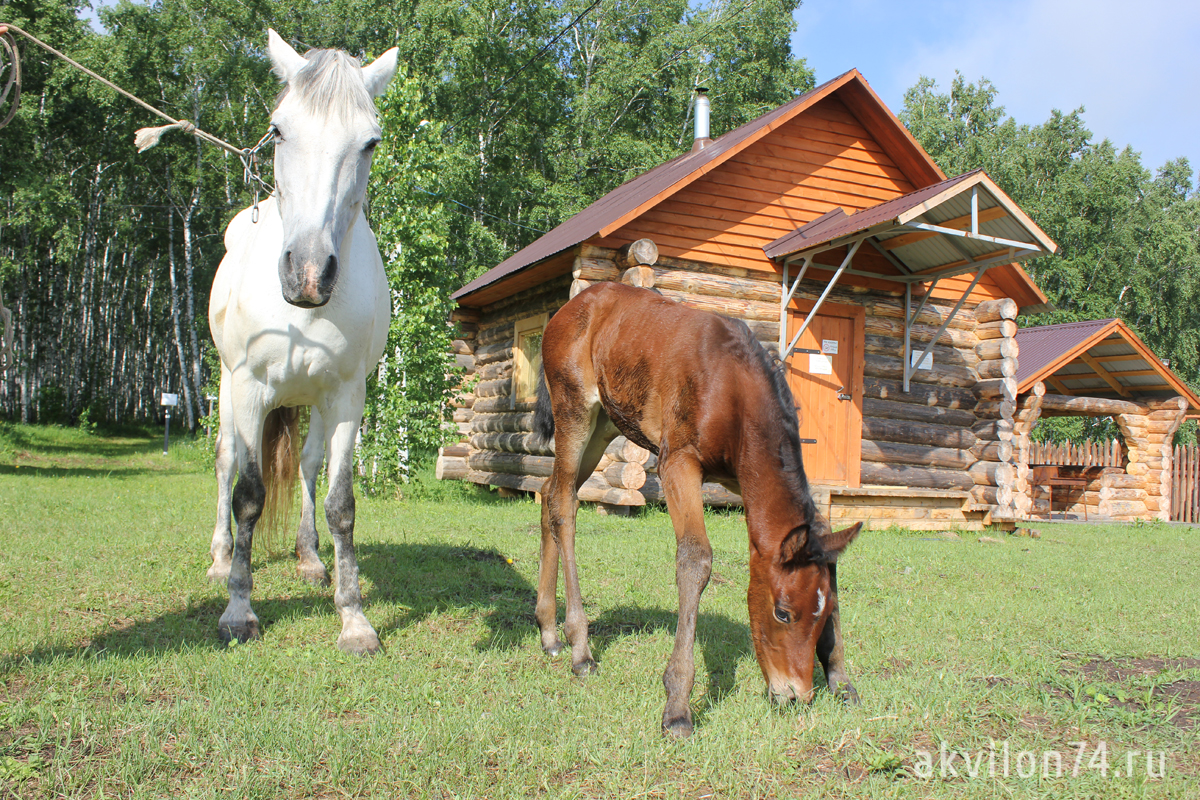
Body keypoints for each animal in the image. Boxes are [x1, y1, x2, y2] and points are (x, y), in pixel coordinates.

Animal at [204, 32, 396, 657]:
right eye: (279, 130)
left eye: (369, 142)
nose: (308, 273)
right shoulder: (249, 387)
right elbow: (248, 492)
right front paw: (238, 610)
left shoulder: (347, 398)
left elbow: (340, 505)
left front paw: (353, 617)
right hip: (227, 385)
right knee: (226, 462)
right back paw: (220, 559)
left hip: (312, 400)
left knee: (309, 466)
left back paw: (310, 557)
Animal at [537, 281, 864, 738]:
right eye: (782, 613)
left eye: (826, 612)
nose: (795, 695)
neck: (733, 388)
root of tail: (566, 311)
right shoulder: (677, 462)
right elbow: (695, 559)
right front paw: (677, 704)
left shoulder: (741, 478)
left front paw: (841, 679)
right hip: (575, 410)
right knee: (564, 504)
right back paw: (578, 648)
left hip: (604, 424)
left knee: (549, 492)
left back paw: (548, 633)